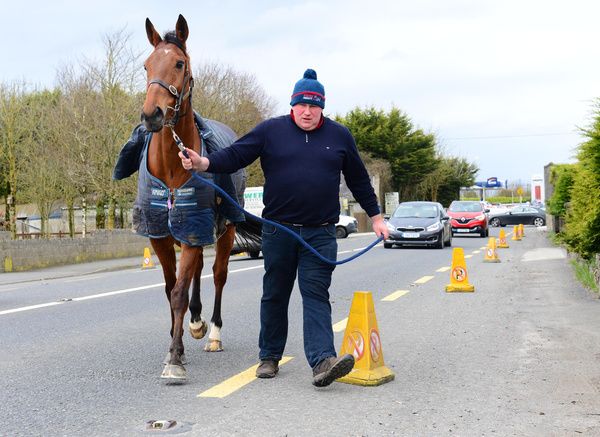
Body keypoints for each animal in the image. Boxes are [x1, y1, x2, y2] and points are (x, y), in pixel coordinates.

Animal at [138, 15, 258, 380]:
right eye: (147, 65)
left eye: (179, 63)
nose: (152, 114)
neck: (171, 168)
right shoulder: (161, 235)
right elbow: (170, 288)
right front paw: (176, 336)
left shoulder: (193, 227)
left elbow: (178, 290)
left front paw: (175, 358)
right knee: (198, 272)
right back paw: (194, 321)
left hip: (225, 229)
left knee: (218, 273)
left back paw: (213, 332)